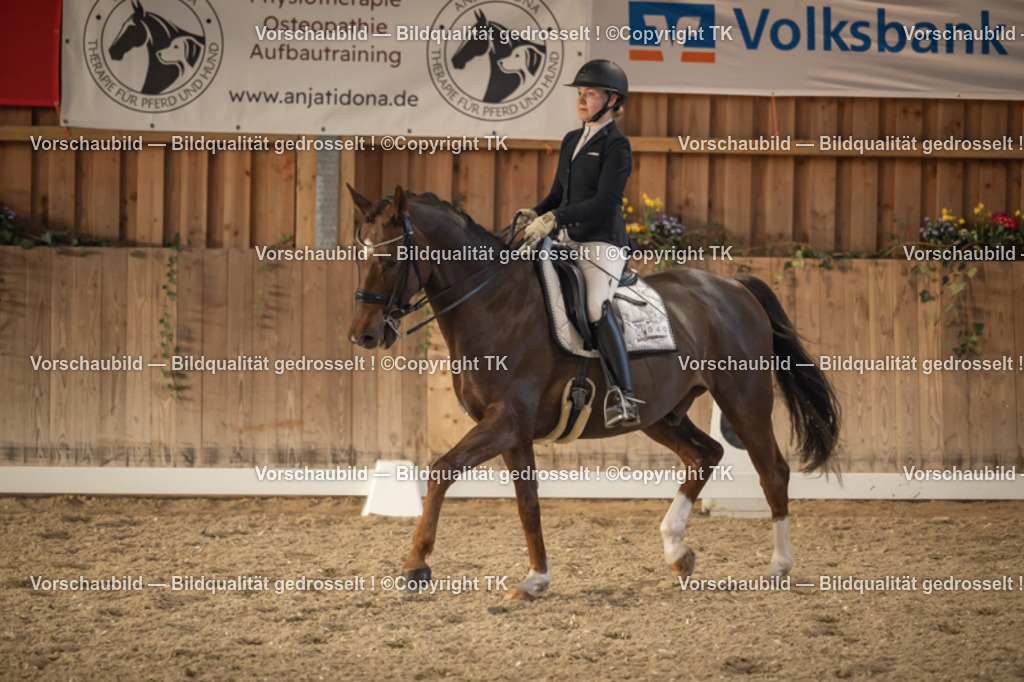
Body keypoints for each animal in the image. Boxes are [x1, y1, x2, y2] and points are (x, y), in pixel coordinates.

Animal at [347, 185, 840, 601]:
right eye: (358, 253)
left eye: (390, 260)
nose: (362, 336)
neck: (494, 303)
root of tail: (735, 286)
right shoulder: (514, 431)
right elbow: (528, 504)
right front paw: (535, 580)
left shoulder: (505, 421)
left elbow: (441, 470)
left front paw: (415, 565)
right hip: (660, 414)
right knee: (706, 453)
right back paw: (677, 552)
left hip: (744, 398)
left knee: (771, 470)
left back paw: (777, 566)